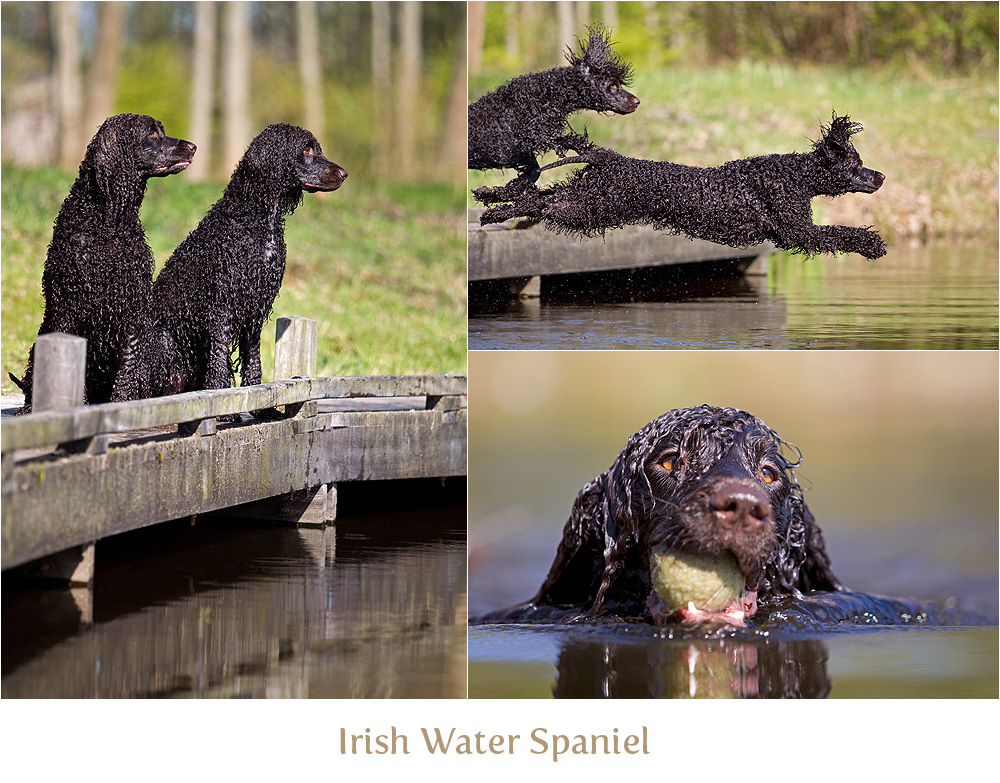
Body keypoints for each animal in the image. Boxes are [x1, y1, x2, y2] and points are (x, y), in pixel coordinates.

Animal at [8, 115, 196, 416]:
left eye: (163, 131)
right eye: (152, 135)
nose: (193, 147)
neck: (108, 224)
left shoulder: (132, 309)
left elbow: (128, 366)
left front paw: (123, 404)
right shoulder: (68, 308)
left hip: (158, 339)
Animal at [139, 124, 346, 416]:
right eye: (306, 150)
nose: (344, 173)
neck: (255, 221)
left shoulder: (255, 309)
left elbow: (253, 360)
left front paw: (262, 407)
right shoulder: (220, 306)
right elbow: (219, 364)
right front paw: (222, 405)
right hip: (162, 339)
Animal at [468, 23, 640, 182]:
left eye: (619, 83)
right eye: (612, 85)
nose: (637, 101)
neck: (549, 95)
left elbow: (536, 167)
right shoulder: (521, 142)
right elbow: (561, 141)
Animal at [480, 113, 888, 260]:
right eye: (857, 165)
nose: (881, 176)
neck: (794, 176)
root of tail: (607, 157)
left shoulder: (789, 234)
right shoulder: (799, 231)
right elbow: (841, 233)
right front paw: (872, 245)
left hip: (585, 200)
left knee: (540, 196)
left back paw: (492, 202)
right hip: (590, 207)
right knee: (541, 201)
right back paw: (494, 210)